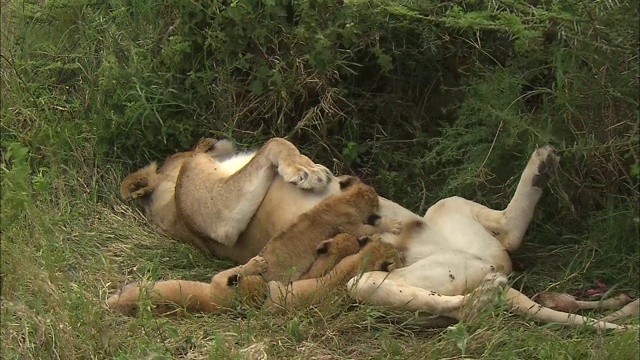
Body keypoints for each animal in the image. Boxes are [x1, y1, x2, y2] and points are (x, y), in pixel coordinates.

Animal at [114, 136, 636, 330]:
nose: (218, 141)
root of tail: (488, 272)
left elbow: (273, 144)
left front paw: (310, 170)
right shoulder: (218, 216)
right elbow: (273, 143)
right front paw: (308, 172)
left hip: (450, 217)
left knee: (506, 235)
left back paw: (543, 166)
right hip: (387, 279)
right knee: (459, 300)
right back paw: (482, 297)